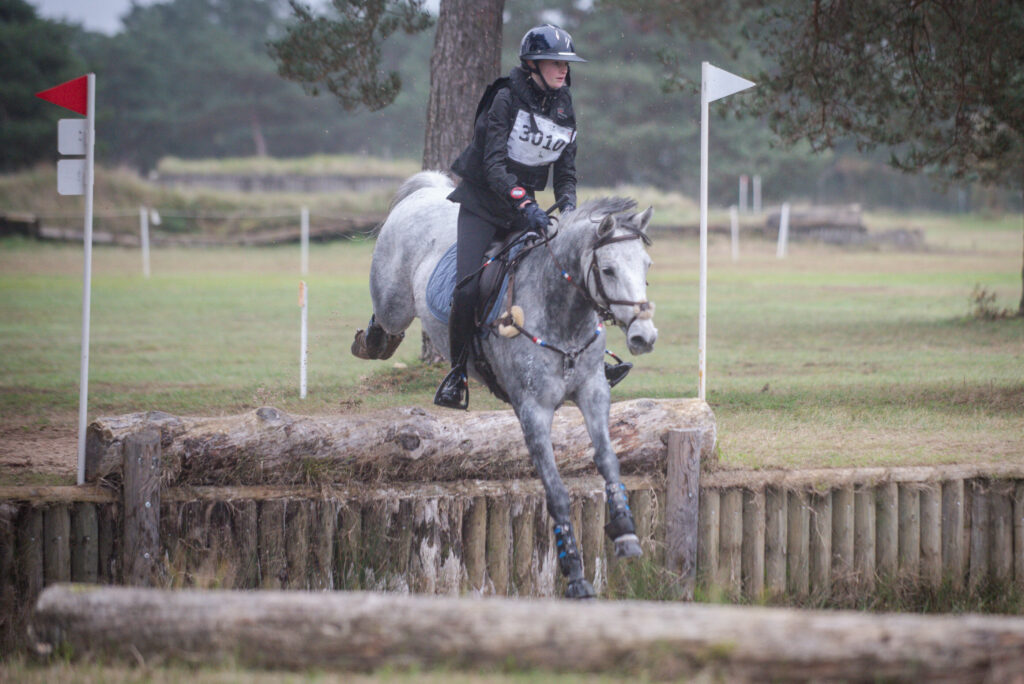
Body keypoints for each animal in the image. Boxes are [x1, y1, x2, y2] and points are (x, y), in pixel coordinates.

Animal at [350, 171, 655, 597]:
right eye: (608, 270)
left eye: (646, 266)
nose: (645, 336)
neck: (562, 313)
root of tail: (428, 190)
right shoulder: (532, 410)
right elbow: (556, 491)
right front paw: (574, 572)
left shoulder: (593, 393)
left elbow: (608, 459)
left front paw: (625, 531)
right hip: (394, 302)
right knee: (386, 322)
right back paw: (371, 342)